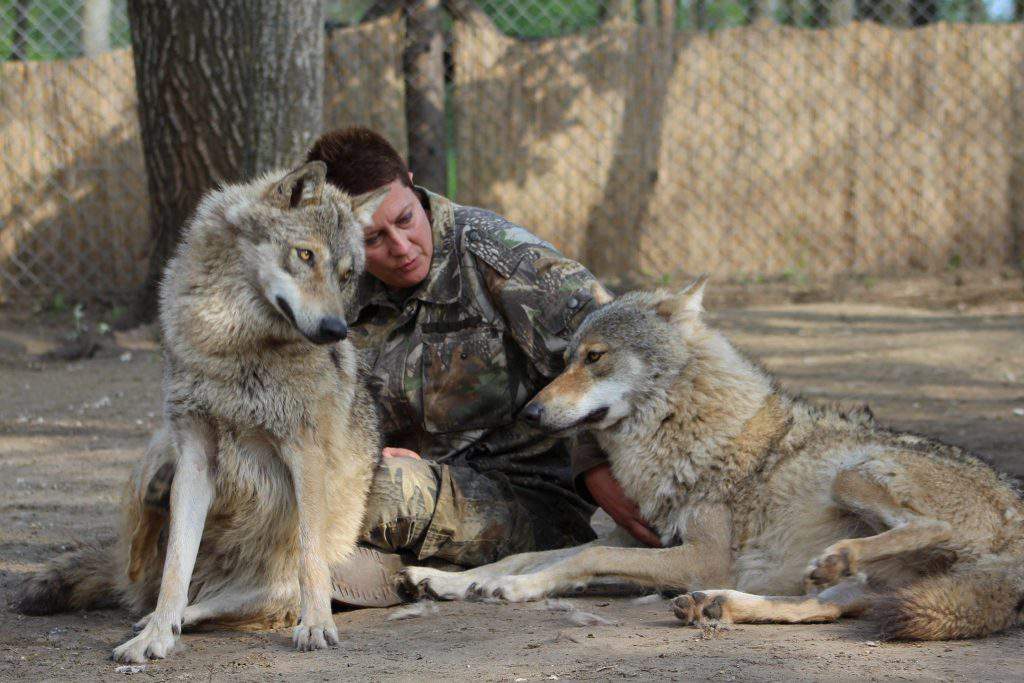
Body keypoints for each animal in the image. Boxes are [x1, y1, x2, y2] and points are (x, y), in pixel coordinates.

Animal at [16, 160, 385, 663]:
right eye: (305, 255)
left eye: (346, 274)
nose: (335, 330)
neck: (233, 342)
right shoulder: (195, 454)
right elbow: (176, 568)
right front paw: (153, 639)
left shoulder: (305, 453)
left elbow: (311, 558)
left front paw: (316, 626)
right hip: (158, 446)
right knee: (141, 569)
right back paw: (152, 606)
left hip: (286, 575)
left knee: (241, 597)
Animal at [403, 276, 1024, 643]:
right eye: (564, 360)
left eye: (595, 357)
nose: (530, 413)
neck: (681, 427)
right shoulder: (644, 541)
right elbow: (532, 554)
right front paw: (450, 580)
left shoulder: (700, 556)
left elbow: (582, 557)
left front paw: (514, 590)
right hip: (856, 581)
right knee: (821, 608)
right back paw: (718, 607)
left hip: (853, 474)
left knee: (930, 526)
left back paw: (832, 558)